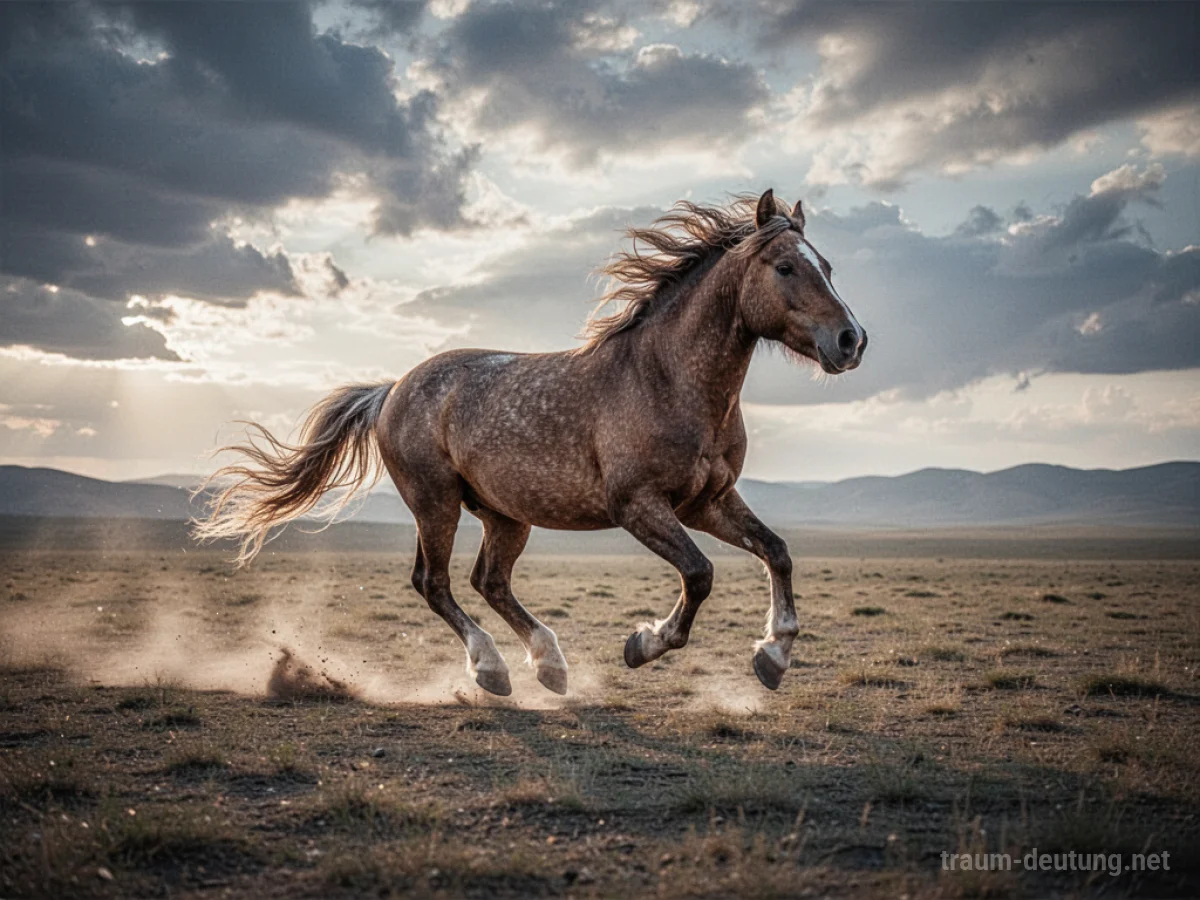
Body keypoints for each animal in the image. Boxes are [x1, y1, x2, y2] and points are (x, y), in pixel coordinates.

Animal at [195, 189, 867, 697]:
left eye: (830, 267)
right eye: (785, 267)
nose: (851, 340)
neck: (669, 379)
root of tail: (391, 390)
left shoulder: (707, 502)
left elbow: (777, 552)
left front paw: (773, 655)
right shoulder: (639, 505)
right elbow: (699, 575)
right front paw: (643, 644)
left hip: (505, 514)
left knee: (488, 581)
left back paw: (549, 664)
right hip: (435, 503)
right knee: (434, 583)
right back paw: (493, 670)